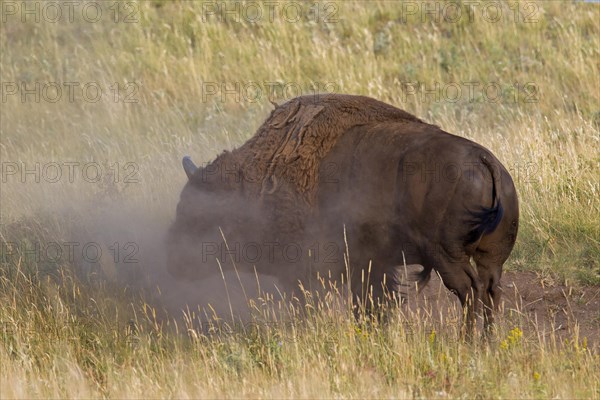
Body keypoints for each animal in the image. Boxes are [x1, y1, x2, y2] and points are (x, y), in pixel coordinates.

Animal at [166, 93, 516, 332]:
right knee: (490, 291)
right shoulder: (371, 267)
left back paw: (467, 342)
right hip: (490, 258)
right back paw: (486, 344)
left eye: (197, 215)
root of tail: (486, 161)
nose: (172, 255)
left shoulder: (308, 271)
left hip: (448, 257)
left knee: (469, 291)